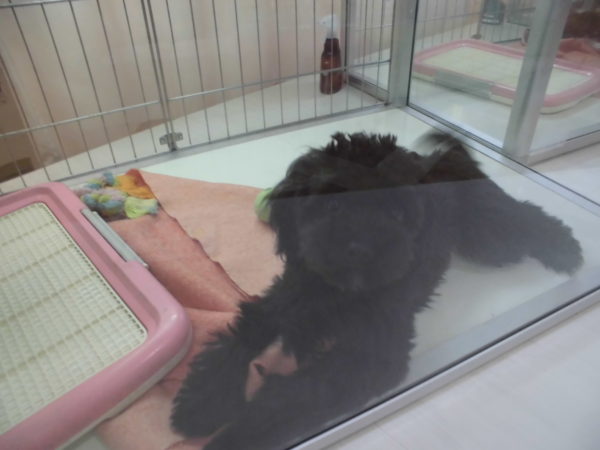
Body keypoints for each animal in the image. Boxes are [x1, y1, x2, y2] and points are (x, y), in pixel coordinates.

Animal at [171, 132, 583, 449]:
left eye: (395, 213)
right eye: (333, 203)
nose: (359, 248)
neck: (339, 293)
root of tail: (447, 157)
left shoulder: (370, 356)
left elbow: (294, 395)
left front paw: (235, 436)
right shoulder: (281, 300)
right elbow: (234, 342)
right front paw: (200, 404)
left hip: (492, 238)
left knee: (525, 215)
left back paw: (565, 248)